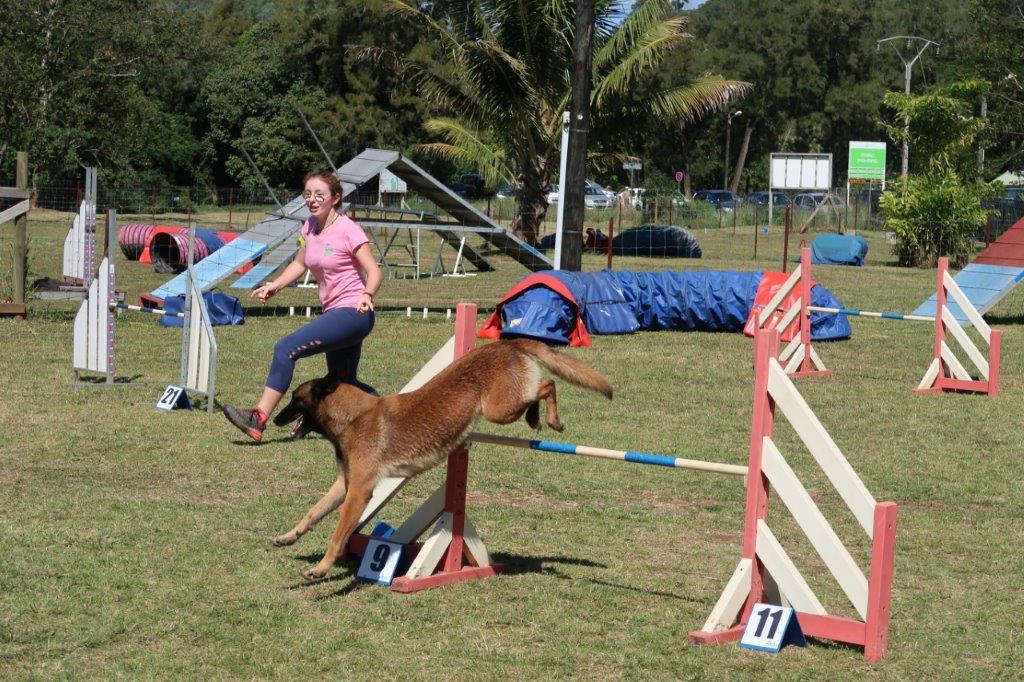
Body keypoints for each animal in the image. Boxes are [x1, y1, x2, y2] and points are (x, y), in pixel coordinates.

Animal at [268, 337, 610, 577]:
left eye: (295, 399)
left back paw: (549, 419)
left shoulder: (360, 492)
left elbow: (337, 534)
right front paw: (288, 536)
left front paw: (321, 568)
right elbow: (312, 513)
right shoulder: (345, 486)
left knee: (547, 385)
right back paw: (536, 419)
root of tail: (505, 343)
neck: (354, 417)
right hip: (504, 406)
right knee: (540, 389)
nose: (273, 419)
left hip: (499, 409)